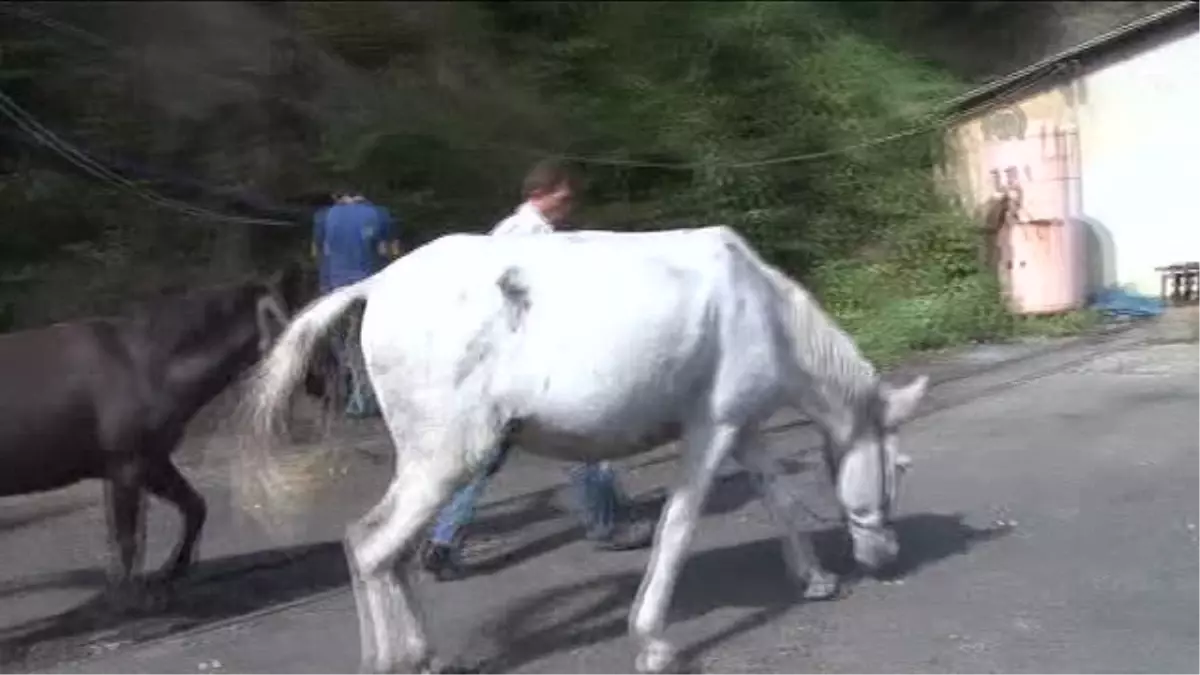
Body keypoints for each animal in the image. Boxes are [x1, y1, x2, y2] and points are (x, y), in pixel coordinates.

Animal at [0, 270, 304, 600]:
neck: (143, 365)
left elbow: (193, 508)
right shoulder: (128, 467)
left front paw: (170, 573)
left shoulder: (151, 462)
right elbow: (127, 542)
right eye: (289, 328)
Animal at [248, 225, 931, 672]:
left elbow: (779, 499)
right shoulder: (710, 429)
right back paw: (396, 658)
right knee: (371, 546)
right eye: (899, 465)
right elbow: (677, 529)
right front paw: (652, 643)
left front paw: (815, 578)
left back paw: (421, 655)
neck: (763, 311)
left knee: (380, 550)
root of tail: (377, 284)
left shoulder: (744, 428)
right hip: (447, 458)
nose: (885, 554)